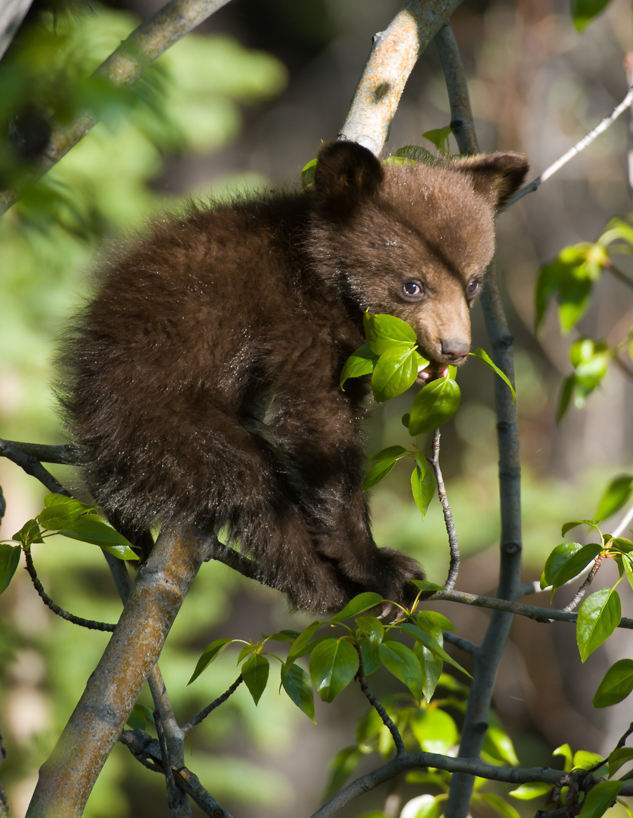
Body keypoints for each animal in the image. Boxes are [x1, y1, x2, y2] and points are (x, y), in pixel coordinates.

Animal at [56, 140, 528, 613]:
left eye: (473, 283)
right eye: (412, 286)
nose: (455, 348)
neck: (320, 272)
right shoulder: (298, 321)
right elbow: (318, 426)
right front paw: (372, 562)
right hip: (156, 420)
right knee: (250, 483)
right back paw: (332, 586)